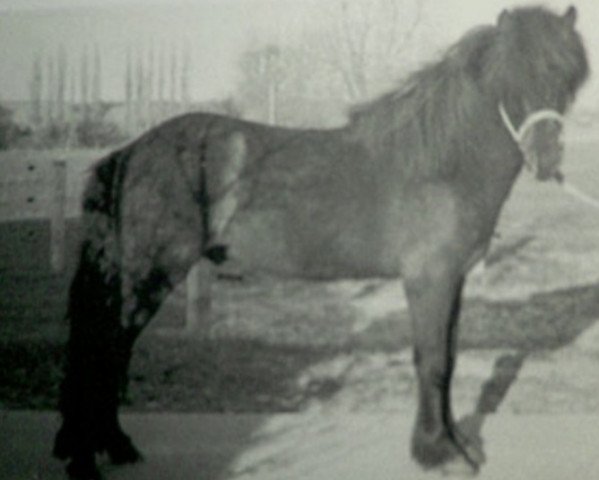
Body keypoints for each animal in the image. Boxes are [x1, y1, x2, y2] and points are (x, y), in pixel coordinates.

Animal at [54, 4, 588, 480]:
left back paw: (115, 447)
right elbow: (432, 362)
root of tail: (131, 152)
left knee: (113, 348)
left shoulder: (453, 281)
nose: (544, 157)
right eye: (511, 79)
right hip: (148, 274)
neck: (439, 164)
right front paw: (438, 453)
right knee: (104, 346)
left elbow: (450, 361)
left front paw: (456, 444)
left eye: (566, 78)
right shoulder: (428, 280)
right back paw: (86, 458)